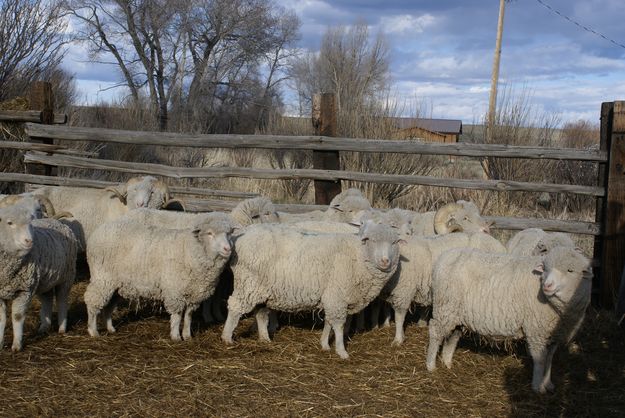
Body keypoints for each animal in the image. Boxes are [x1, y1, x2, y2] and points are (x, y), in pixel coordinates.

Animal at [0, 201, 77, 352]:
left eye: (30, 223)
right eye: (9, 222)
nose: (29, 241)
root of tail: (54, 220)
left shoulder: (24, 290)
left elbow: (17, 317)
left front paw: (17, 345)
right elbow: (1, 319)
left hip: (67, 276)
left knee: (62, 300)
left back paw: (62, 328)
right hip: (45, 281)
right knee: (47, 299)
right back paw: (44, 328)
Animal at [84, 212, 235, 340]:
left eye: (228, 234)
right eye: (210, 233)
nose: (228, 249)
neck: (190, 249)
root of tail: (100, 230)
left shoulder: (194, 294)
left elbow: (188, 316)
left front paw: (187, 336)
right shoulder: (175, 291)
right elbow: (177, 316)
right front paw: (176, 336)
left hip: (116, 284)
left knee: (108, 307)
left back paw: (110, 328)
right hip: (103, 278)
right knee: (92, 302)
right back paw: (93, 331)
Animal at [222, 222, 402, 360]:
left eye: (395, 242)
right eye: (371, 240)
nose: (385, 261)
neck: (358, 255)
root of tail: (241, 235)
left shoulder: (331, 297)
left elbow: (328, 322)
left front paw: (324, 344)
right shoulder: (337, 296)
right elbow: (338, 325)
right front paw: (341, 351)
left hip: (262, 288)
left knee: (260, 313)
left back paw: (265, 339)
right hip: (248, 283)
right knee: (235, 307)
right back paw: (227, 338)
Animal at [424, 245, 588, 392]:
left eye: (570, 270)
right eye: (546, 269)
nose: (547, 285)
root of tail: (444, 257)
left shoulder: (554, 334)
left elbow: (549, 359)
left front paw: (548, 384)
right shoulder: (536, 332)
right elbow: (540, 360)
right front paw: (537, 387)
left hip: (456, 314)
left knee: (453, 335)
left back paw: (447, 362)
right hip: (445, 307)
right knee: (435, 332)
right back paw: (431, 365)